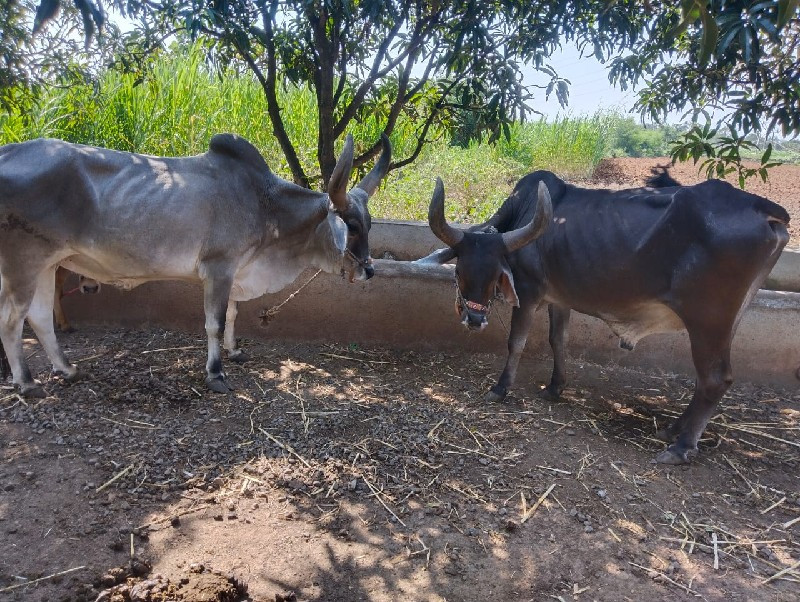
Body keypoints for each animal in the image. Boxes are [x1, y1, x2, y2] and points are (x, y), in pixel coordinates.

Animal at [0, 132, 390, 394]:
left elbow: (232, 314)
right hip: (23, 263)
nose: (369, 270)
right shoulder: (219, 268)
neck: (265, 205)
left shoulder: (235, 272)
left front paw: (234, 352)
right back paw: (27, 383)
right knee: (13, 322)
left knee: (40, 318)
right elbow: (214, 322)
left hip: (48, 264)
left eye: (369, 224)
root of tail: (9, 151)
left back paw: (66, 369)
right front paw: (216, 373)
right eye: (351, 226)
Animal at [422, 171, 792, 462]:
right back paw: (672, 429)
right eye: (460, 271)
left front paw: (500, 389)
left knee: (715, 379)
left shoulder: (528, 293)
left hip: (708, 321)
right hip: (728, 322)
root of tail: (765, 209)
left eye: (494, 275)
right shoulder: (559, 299)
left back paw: (681, 447)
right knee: (707, 381)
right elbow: (558, 340)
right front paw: (555, 387)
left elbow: (517, 343)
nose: (474, 320)